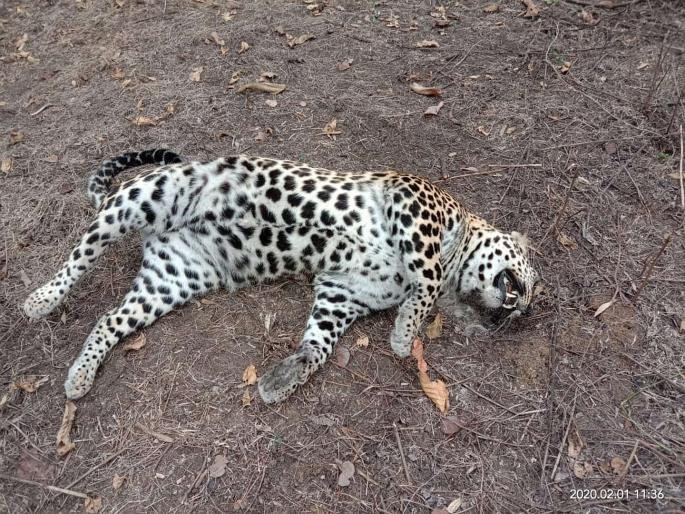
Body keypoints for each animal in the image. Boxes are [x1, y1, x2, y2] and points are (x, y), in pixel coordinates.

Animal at [23, 149, 539, 404]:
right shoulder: (414, 206)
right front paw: (403, 334)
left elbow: (319, 346)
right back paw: (40, 299)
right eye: (532, 282)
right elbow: (426, 282)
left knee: (108, 319)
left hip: (170, 280)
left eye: (524, 311)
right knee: (79, 254)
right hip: (145, 196)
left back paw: (79, 376)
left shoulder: (341, 293)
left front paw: (282, 380)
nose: (516, 310)